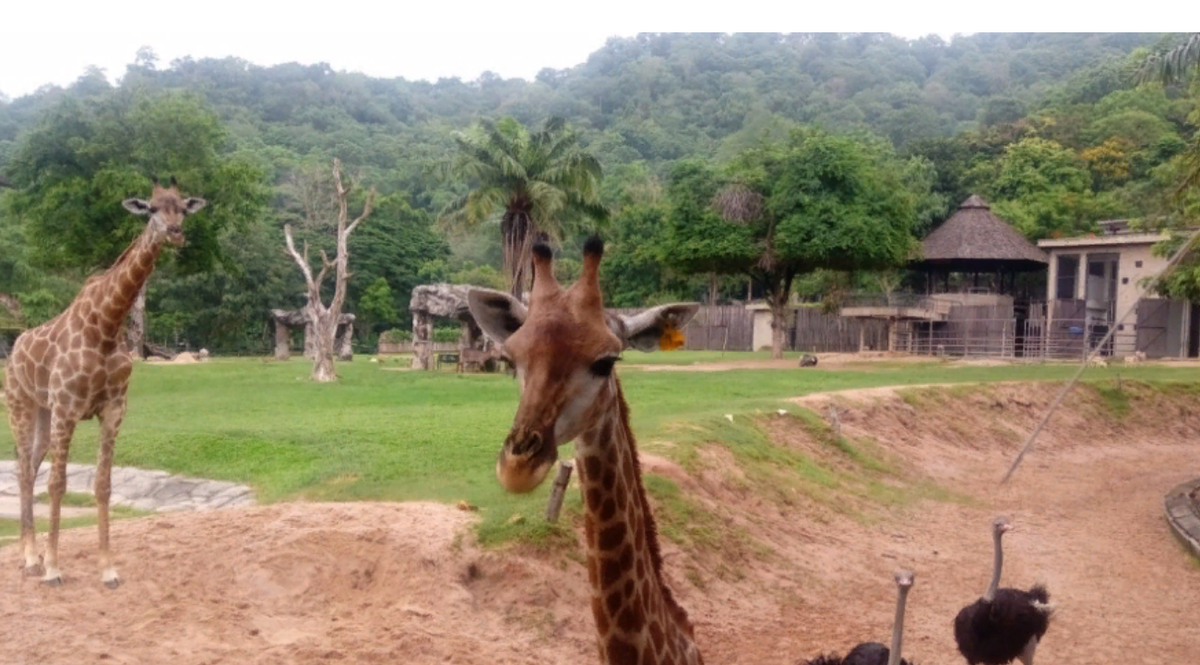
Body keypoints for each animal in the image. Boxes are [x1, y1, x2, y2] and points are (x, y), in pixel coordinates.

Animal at [4, 176, 206, 585]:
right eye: (151, 208)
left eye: (181, 207)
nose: (176, 233)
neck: (107, 326)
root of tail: (13, 347)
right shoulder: (67, 407)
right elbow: (58, 484)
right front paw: (53, 568)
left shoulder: (113, 408)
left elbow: (103, 485)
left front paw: (107, 568)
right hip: (21, 404)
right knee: (23, 468)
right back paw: (32, 559)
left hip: (44, 413)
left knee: (29, 467)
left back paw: (30, 555)